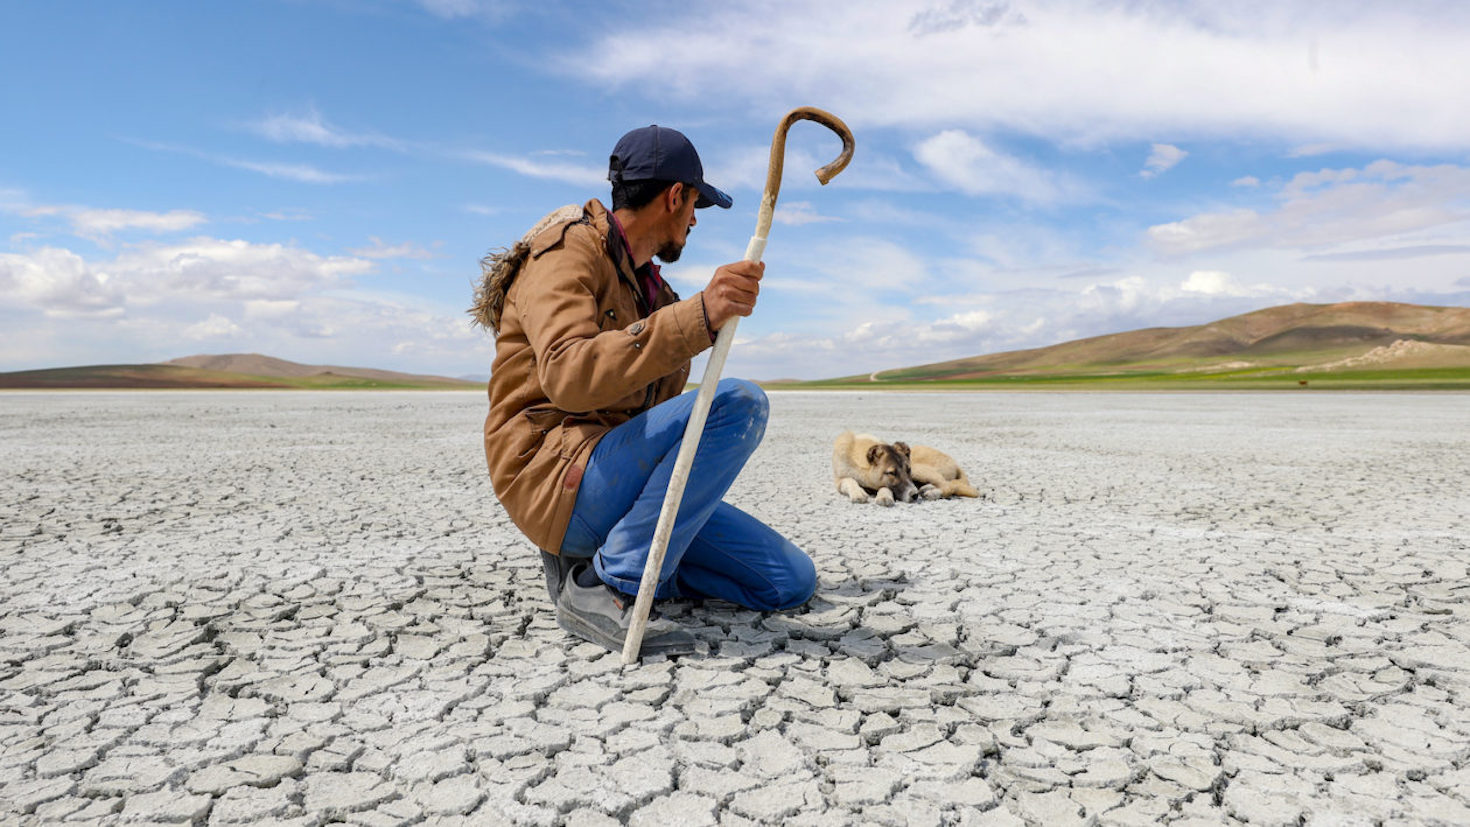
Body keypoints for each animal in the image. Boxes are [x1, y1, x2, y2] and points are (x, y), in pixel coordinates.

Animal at [834, 434, 981, 505]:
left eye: (908, 470)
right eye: (892, 473)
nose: (914, 495)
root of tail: (955, 462)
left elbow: (885, 487)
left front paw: (884, 497)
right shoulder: (840, 479)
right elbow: (850, 480)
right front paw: (858, 494)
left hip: (920, 469)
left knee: (952, 486)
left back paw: (931, 493)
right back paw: (926, 489)